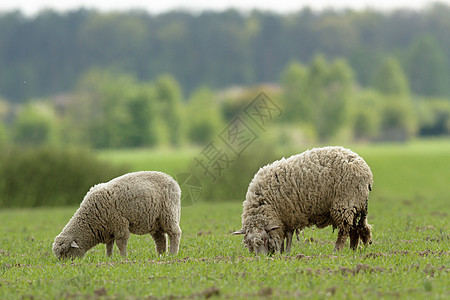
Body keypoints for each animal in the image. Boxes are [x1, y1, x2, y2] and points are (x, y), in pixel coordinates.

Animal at [51, 171, 181, 260]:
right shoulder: (108, 230)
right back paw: (160, 256)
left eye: (65, 252)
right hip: (154, 221)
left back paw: (172, 255)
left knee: (174, 233)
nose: (66, 265)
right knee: (160, 239)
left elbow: (120, 243)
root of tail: (172, 180)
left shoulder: (119, 224)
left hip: (168, 213)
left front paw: (124, 258)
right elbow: (109, 245)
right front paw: (108, 258)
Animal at [232, 146, 372, 254]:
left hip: (344, 204)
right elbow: (283, 237)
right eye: (249, 243)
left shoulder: (289, 216)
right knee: (357, 229)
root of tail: (366, 170)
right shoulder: (283, 219)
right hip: (355, 205)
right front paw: (281, 253)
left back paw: (336, 251)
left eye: (265, 239)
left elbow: (288, 236)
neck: (267, 204)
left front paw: (286, 253)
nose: (261, 258)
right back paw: (353, 251)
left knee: (344, 231)